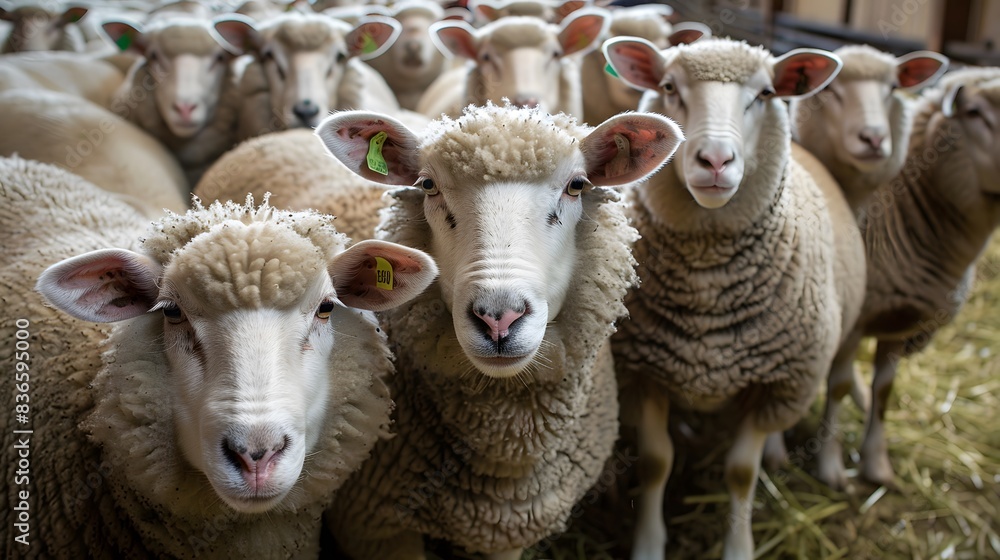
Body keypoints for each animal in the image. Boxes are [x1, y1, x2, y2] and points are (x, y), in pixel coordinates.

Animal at [314, 103, 683, 558]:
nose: (498, 319)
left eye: (577, 186)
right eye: (428, 185)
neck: (507, 456)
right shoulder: (375, 529)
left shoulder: (512, 526)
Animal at [603, 37, 865, 560]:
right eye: (669, 88)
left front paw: (738, 545)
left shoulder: (776, 382)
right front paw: (648, 542)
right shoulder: (643, 374)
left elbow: (741, 473)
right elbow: (656, 463)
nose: (715, 161)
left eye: (765, 94)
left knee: (837, 388)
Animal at [816, 67, 1000, 490]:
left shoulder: (899, 326)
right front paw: (831, 466)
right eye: (975, 112)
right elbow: (837, 386)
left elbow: (884, 392)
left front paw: (877, 464)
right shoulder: (857, 321)